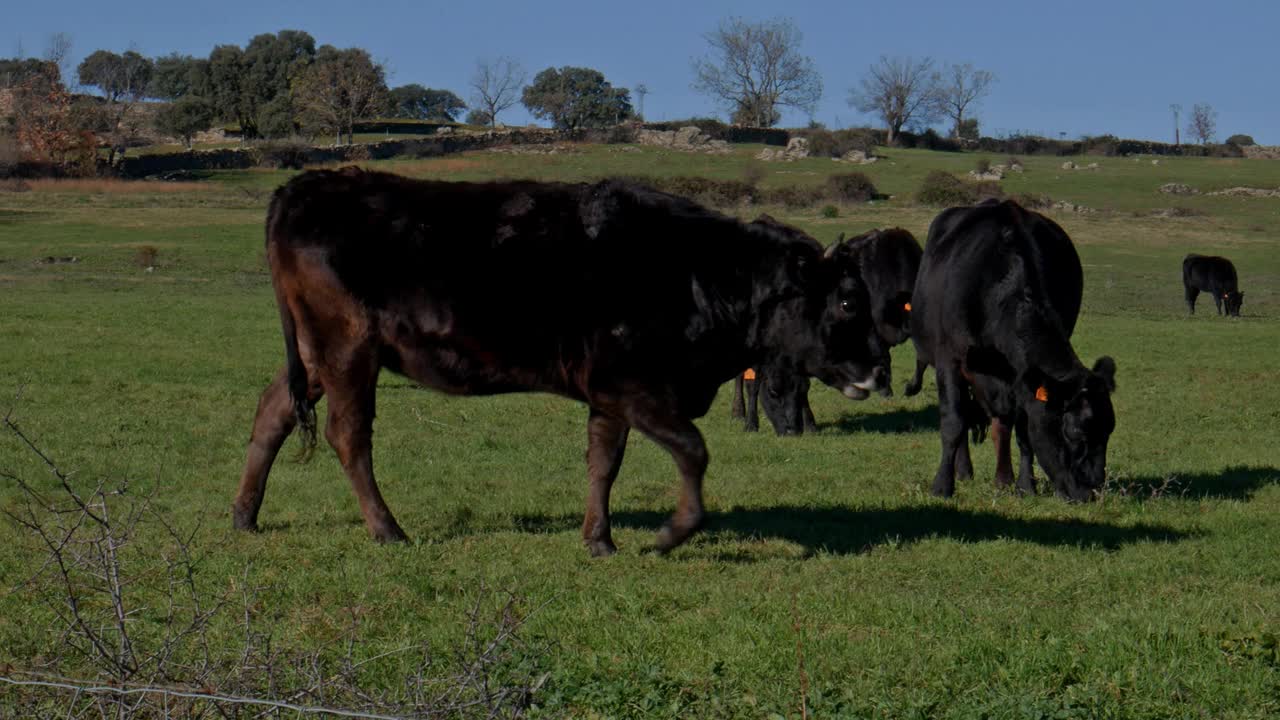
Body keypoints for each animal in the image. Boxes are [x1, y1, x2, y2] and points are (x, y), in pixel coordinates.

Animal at [232, 167, 890, 556]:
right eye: (848, 300)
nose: (879, 369)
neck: (695, 272)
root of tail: (306, 185)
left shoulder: (611, 394)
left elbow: (604, 463)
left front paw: (599, 539)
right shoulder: (633, 383)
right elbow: (693, 450)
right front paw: (670, 533)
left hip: (317, 355)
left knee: (273, 411)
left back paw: (244, 515)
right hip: (348, 349)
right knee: (349, 436)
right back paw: (387, 528)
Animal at [906, 196, 1116, 499]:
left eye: (1109, 429)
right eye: (1075, 432)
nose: (1092, 490)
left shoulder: (1022, 379)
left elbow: (1022, 429)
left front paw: (1024, 484)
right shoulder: (950, 361)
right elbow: (954, 422)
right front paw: (942, 485)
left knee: (1001, 424)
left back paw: (1003, 478)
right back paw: (964, 471)